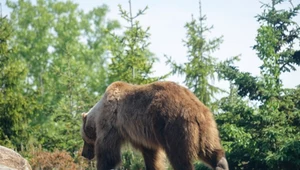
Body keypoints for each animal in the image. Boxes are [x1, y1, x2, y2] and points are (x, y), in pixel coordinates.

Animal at [81, 81, 229, 170]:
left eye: (84, 139)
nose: (84, 154)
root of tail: (196, 110)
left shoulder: (112, 123)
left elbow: (108, 152)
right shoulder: (143, 136)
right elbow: (151, 155)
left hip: (176, 128)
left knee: (180, 157)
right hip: (208, 129)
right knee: (210, 151)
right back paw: (221, 164)